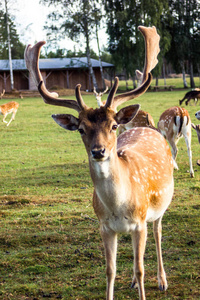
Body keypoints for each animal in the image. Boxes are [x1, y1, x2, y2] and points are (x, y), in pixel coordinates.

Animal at [25, 26, 174, 300]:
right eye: (81, 129)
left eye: (113, 126)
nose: (98, 151)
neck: (118, 205)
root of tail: (148, 129)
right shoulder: (104, 226)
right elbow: (110, 270)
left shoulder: (140, 222)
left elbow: (140, 269)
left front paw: (146, 284)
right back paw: (135, 283)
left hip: (161, 204)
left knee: (158, 233)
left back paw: (162, 280)